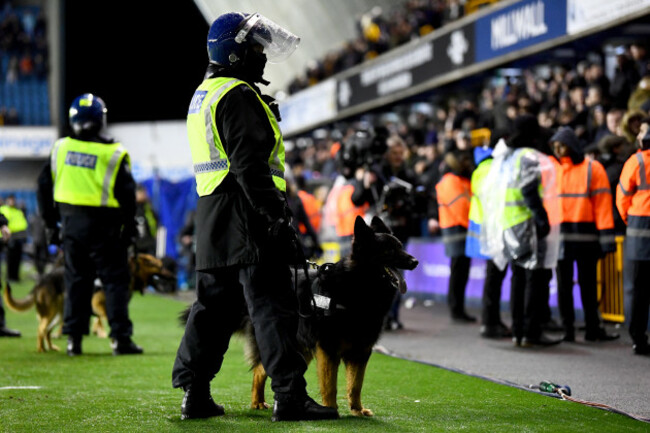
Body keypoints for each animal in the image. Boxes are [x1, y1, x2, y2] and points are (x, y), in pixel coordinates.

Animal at [3, 253, 175, 352]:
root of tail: (41, 280)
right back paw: (41, 350)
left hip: (58, 315)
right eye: (160, 266)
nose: (174, 277)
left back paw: (51, 348)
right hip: (50, 313)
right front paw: (112, 339)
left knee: (47, 331)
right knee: (40, 330)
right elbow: (107, 319)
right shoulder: (97, 304)